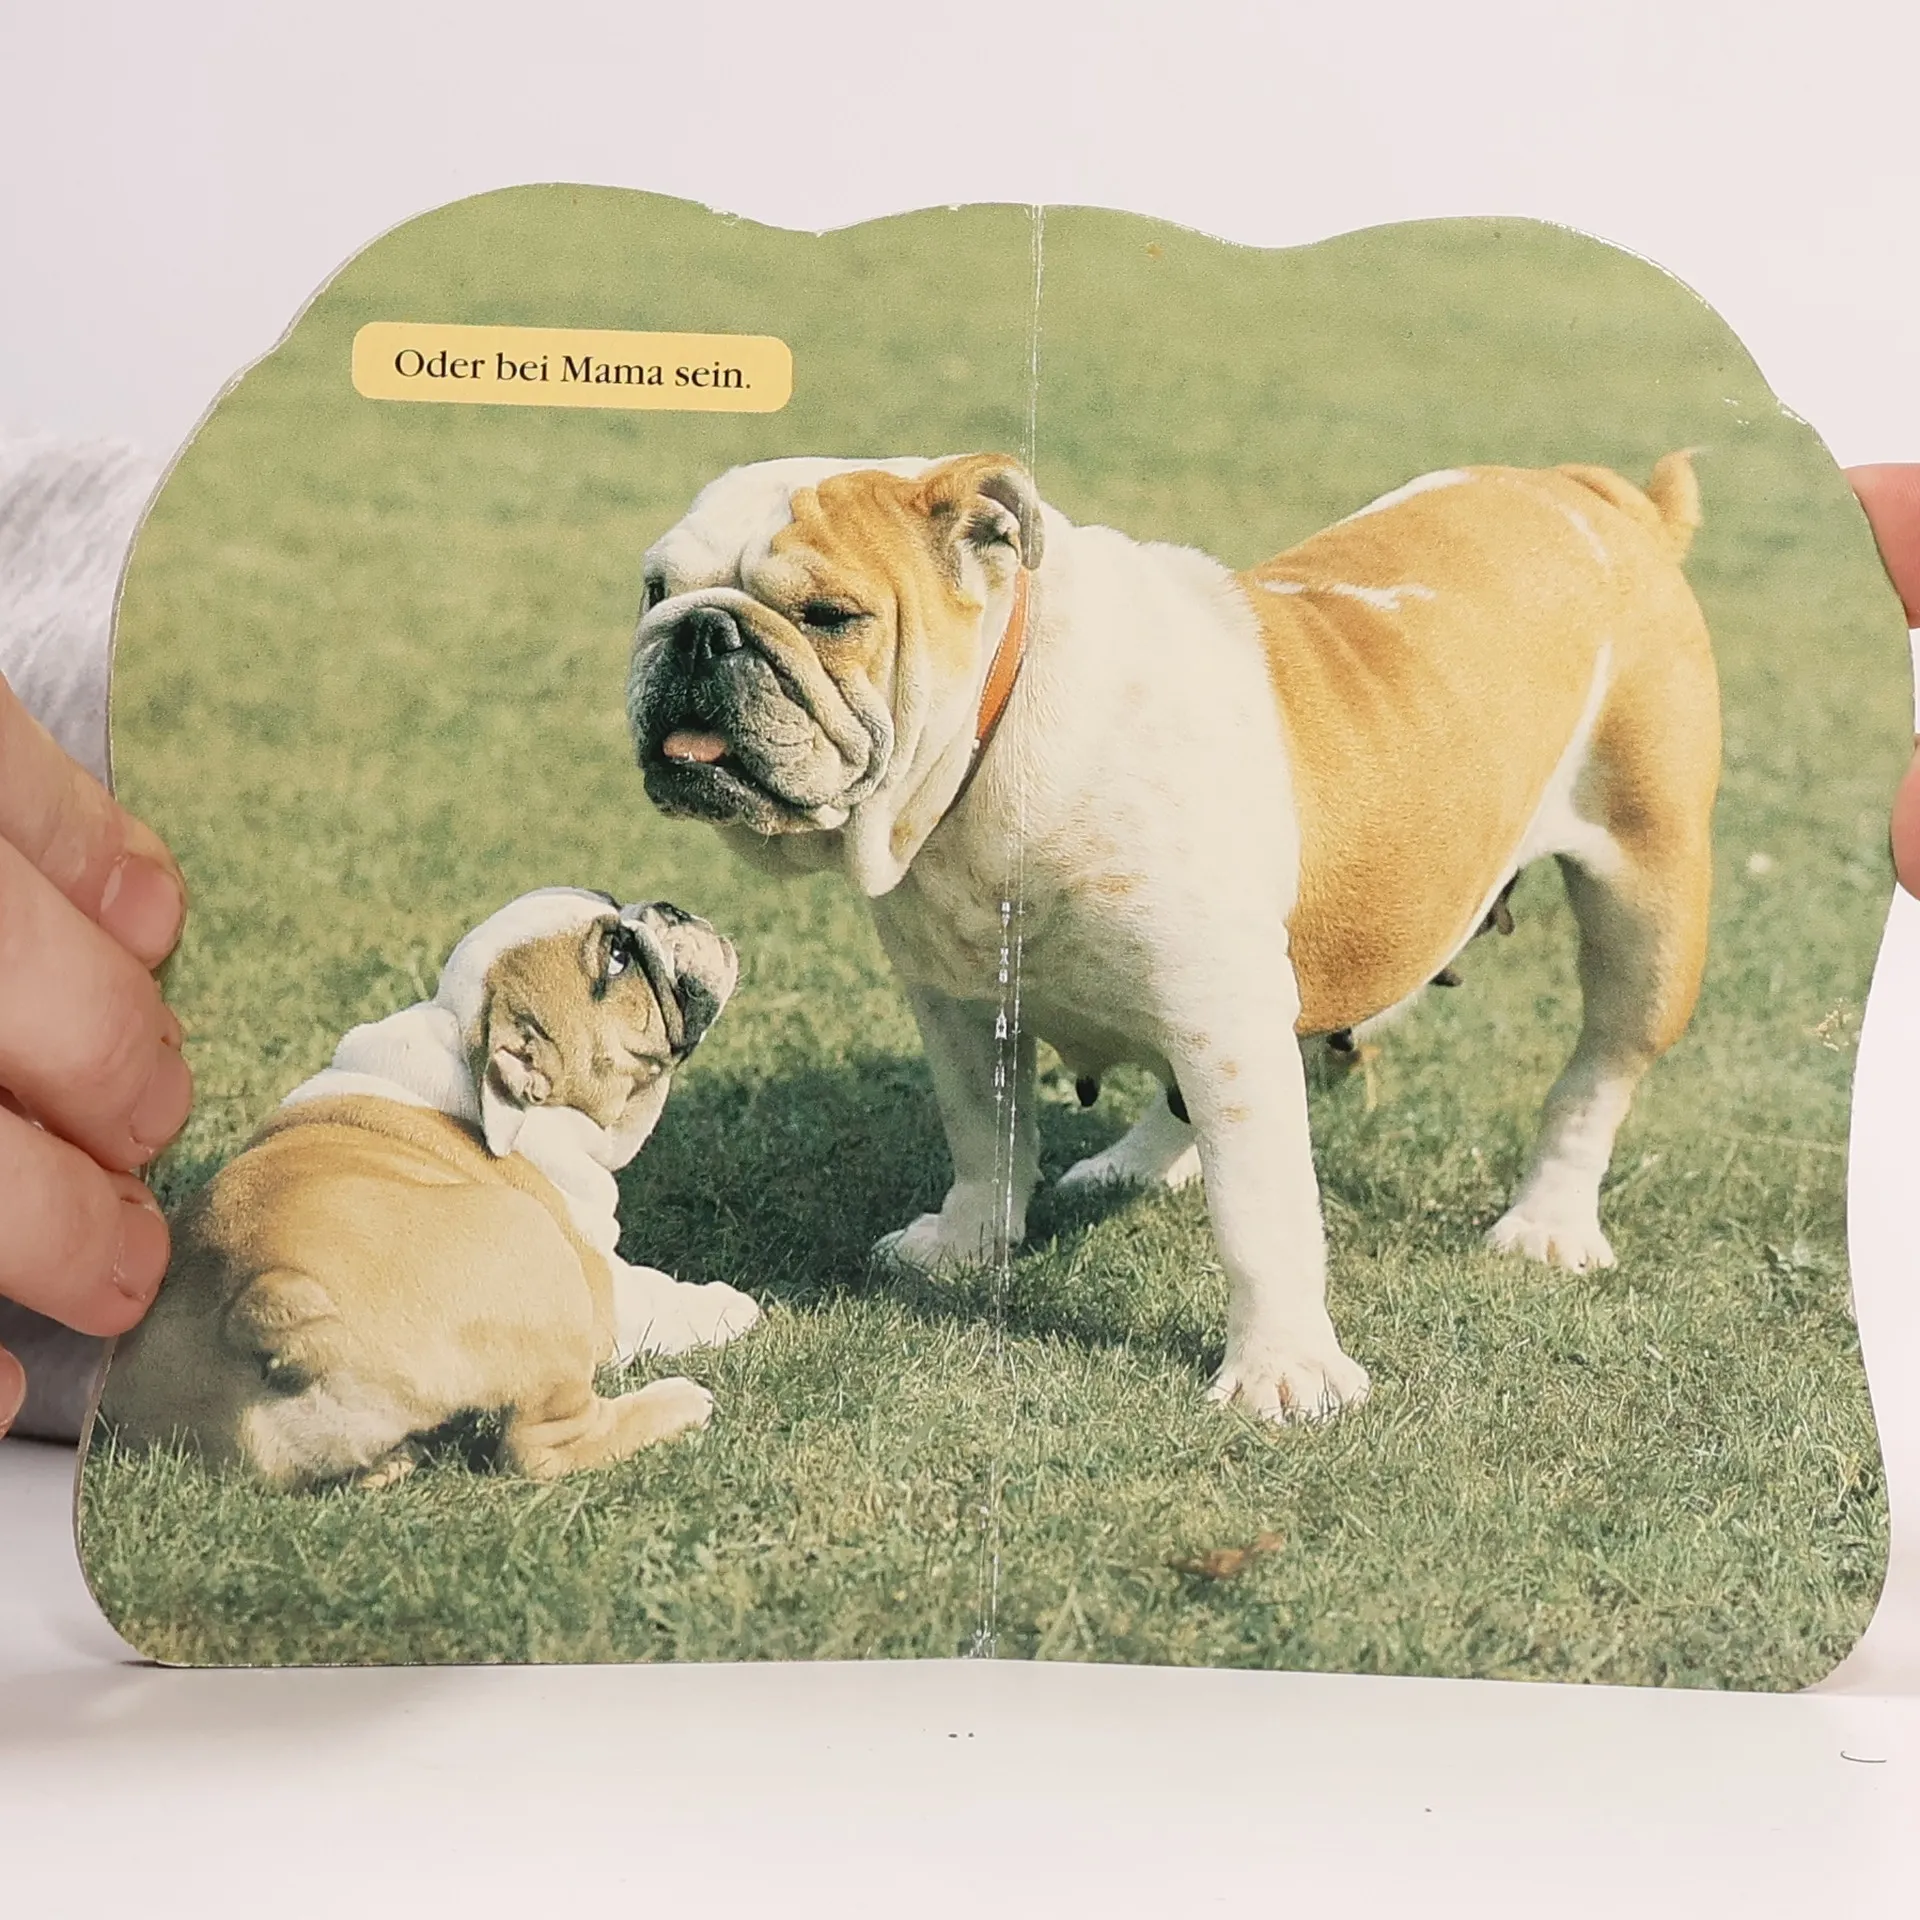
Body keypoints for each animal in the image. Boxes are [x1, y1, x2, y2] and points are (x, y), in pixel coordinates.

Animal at [100, 888, 761, 1484]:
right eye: (617, 958)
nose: (667, 909)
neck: (466, 1049)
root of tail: (263, 1302)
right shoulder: (599, 1277)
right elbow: (655, 1297)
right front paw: (723, 1305)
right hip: (535, 1246)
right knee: (539, 1449)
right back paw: (679, 1402)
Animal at [626, 453, 1719, 1422]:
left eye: (829, 616)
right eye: (653, 589)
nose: (700, 632)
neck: (994, 731)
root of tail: (1605, 497)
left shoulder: (1222, 1017)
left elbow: (1261, 1211)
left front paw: (1286, 1370)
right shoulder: (957, 1001)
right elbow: (983, 1132)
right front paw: (971, 1241)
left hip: (1645, 904)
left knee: (1598, 1071)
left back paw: (1549, 1224)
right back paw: (1137, 1162)